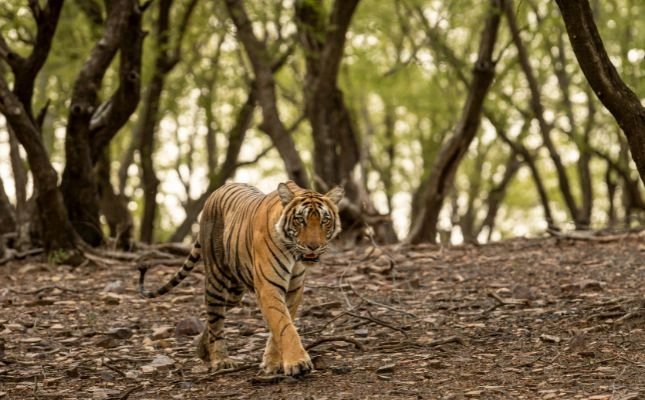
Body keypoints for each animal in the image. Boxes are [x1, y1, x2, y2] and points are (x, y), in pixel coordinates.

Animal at [139, 180, 344, 376]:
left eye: (325, 220)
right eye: (300, 220)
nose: (313, 247)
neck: (294, 254)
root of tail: (216, 191)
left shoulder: (294, 290)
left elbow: (281, 325)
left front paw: (272, 363)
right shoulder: (269, 287)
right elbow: (284, 325)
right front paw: (297, 363)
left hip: (235, 292)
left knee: (214, 319)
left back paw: (203, 351)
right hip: (216, 280)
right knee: (215, 320)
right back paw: (220, 360)